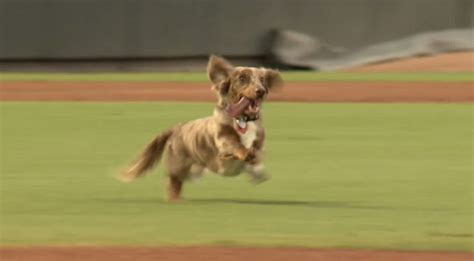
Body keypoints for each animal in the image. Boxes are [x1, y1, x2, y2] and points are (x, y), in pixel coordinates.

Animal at [120, 55, 284, 201]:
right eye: (242, 78)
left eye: (262, 79)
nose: (261, 91)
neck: (242, 120)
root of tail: (176, 128)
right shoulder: (223, 150)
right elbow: (236, 146)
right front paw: (246, 154)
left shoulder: (259, 141)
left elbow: (257, 153)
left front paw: (258, 171)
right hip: (178, 167)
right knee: (173, 185)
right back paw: (176, 199)